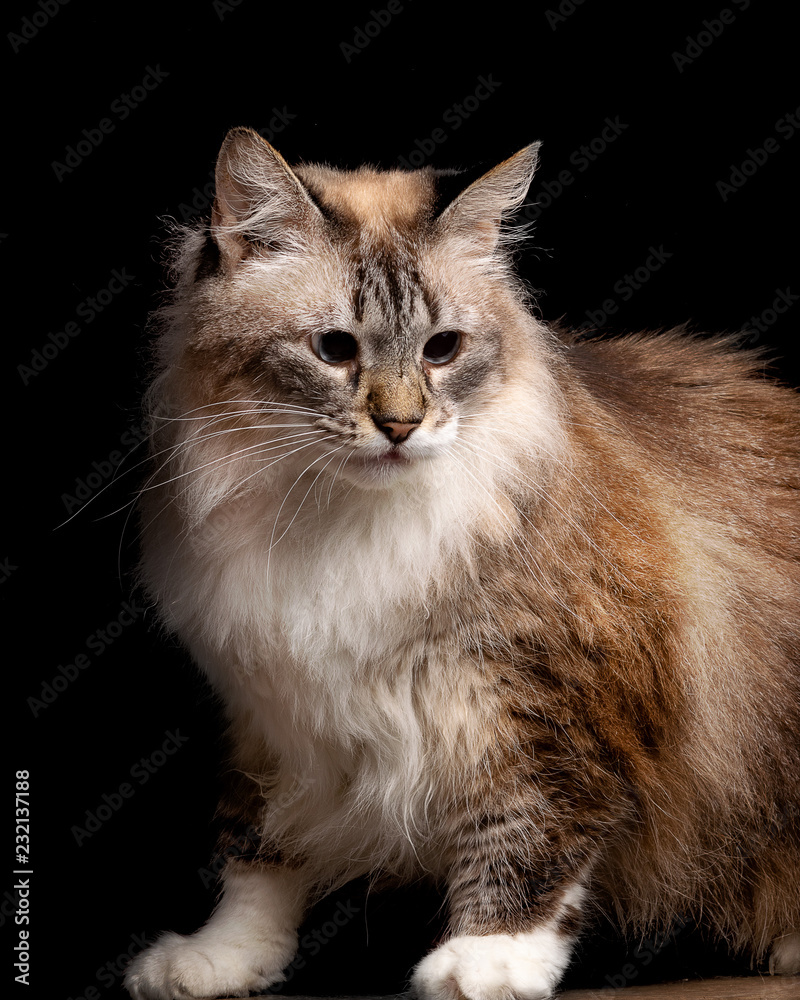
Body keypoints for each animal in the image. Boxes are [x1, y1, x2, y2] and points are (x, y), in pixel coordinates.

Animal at [123, 127, 800, 1000]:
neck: (341, 526)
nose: (401, 426)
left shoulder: (547, 698)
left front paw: (488, 959)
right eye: (335, 349)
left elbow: (531, 829)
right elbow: (257, 851)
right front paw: (223, 957)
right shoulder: (271, 713)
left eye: (442, 349)